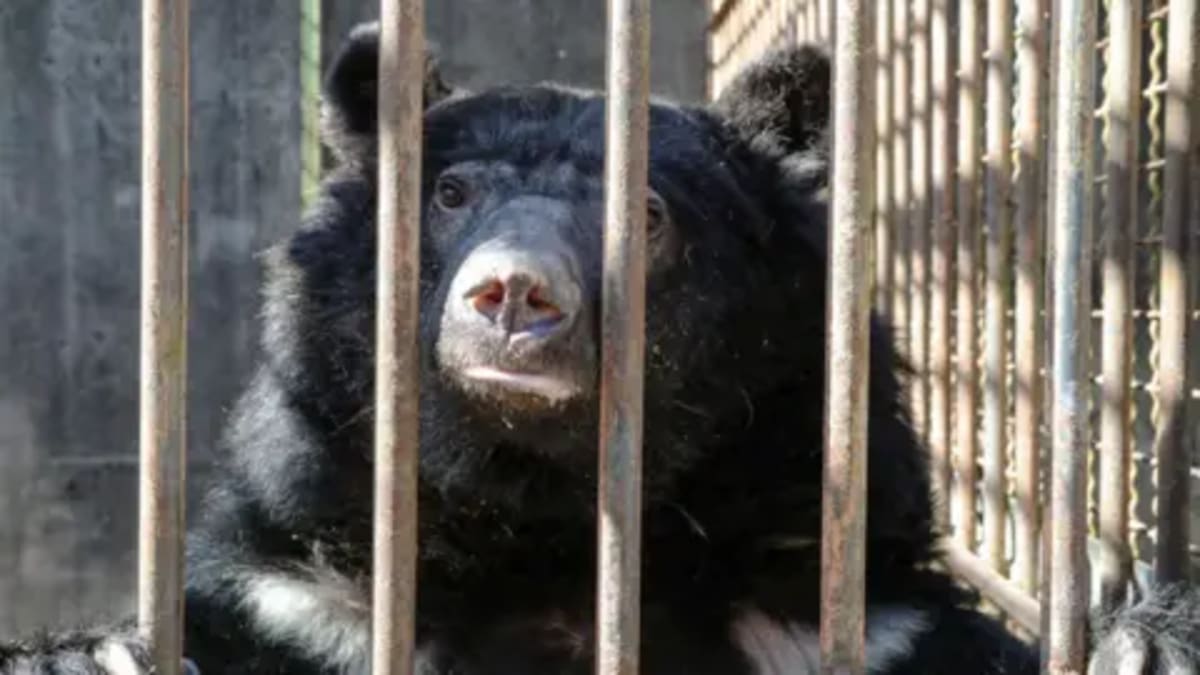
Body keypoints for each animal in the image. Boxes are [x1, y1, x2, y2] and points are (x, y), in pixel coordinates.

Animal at [2, 20, 1199, 675]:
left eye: (651, 215)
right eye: (450, 193)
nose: (513, 294)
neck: (548, 520)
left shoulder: (847, 616)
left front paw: (1147, 638)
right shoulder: (309, 601)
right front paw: (83, 652)